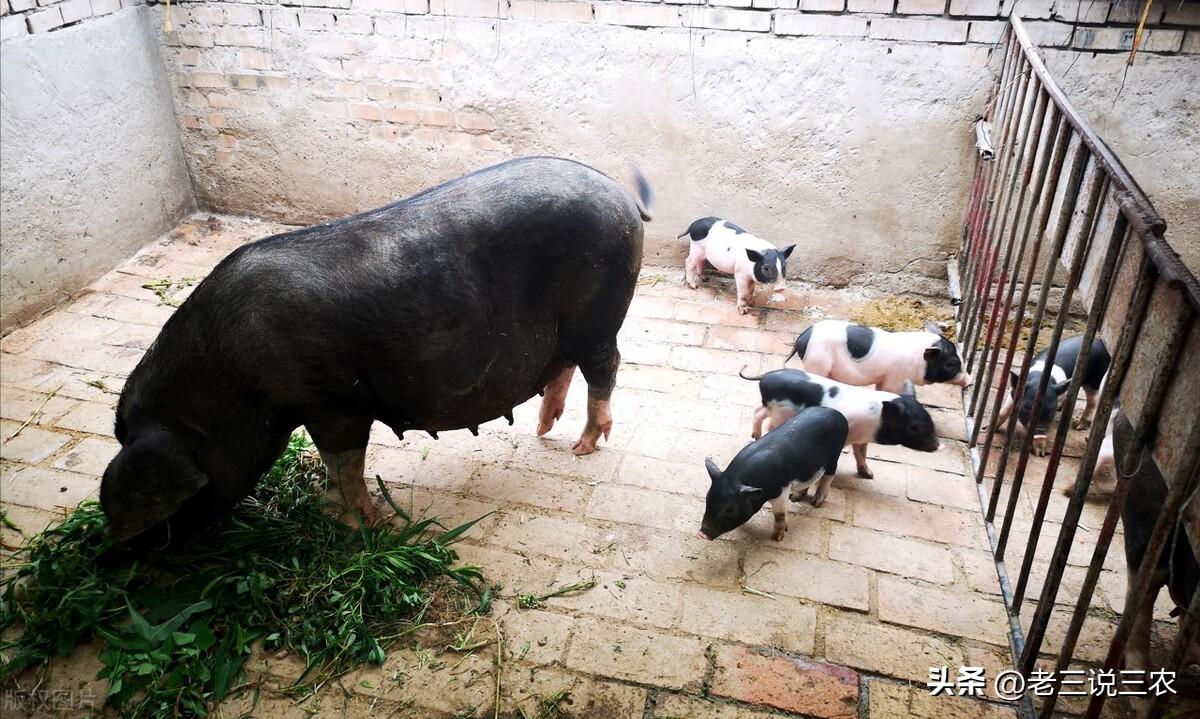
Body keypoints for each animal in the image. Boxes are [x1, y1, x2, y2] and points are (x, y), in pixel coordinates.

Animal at [99, 156, 652, 540]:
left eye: (182, 503)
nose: (124, 551)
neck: (230, 385)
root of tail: (618, 191)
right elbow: (336, 464)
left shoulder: (334, 402)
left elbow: (345, 460)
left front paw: (360, 525)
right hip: (571, 324)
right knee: (566, 365)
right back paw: (543, 430)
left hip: (601, 309)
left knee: (606, 365)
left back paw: (583, 446)